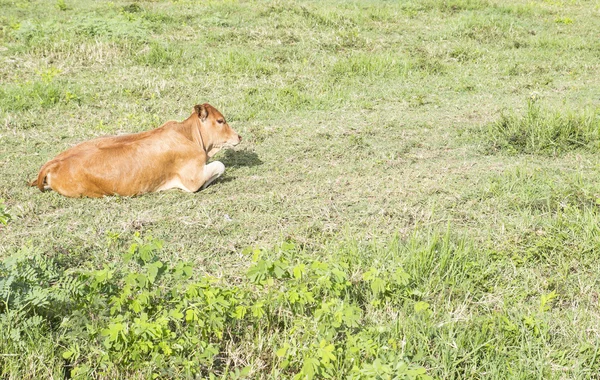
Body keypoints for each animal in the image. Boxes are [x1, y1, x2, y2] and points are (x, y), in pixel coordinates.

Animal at [29, 104, 241, 199]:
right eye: (220, 121)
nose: (239, 136)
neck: (188, 134)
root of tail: (54, 163)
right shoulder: (192, 180)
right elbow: (220, 166)